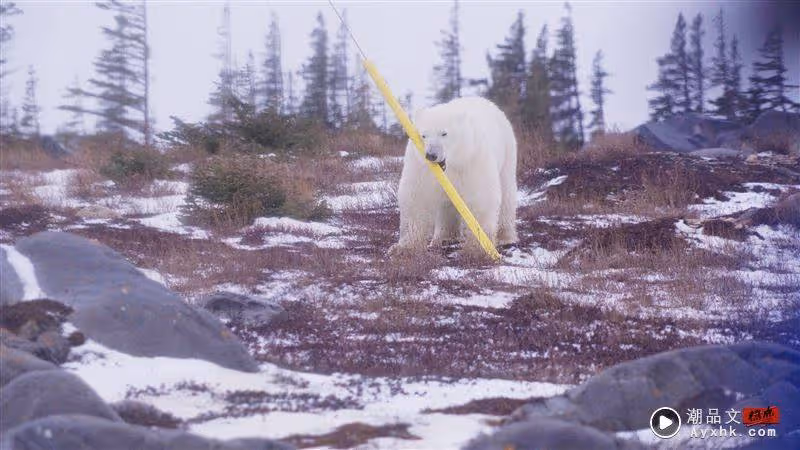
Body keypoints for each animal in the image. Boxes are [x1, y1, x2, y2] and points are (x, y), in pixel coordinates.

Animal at [390, 96, 518, 257]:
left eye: (444, 133)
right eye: (423, 135)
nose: (431, 155)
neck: (449, 165)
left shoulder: (472, 161)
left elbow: (481, 198)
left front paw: (477, 247)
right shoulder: (421, 167)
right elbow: (416, 197)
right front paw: (403, 248)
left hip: (507, 151)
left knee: (507, 192)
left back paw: (505, 237)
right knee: (447, 205)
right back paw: (445, 237)